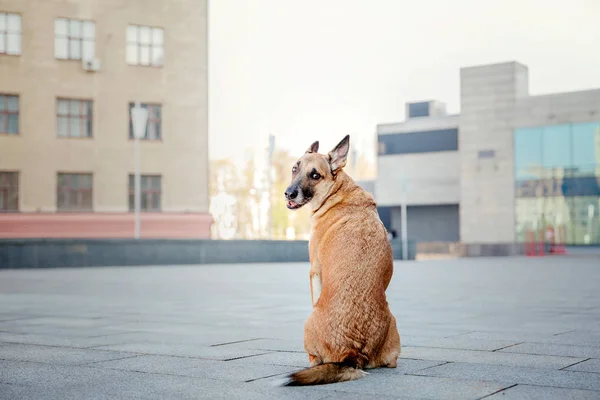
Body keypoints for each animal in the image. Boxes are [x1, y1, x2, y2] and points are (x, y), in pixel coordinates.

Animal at [282, 136, 404, 386]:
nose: (289, 193)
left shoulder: (314, 272)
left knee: (315, 359)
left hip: (308, 323)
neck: (336, 192)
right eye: (295, 168)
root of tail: (353, 351)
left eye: (315, 175)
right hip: (394, 330)